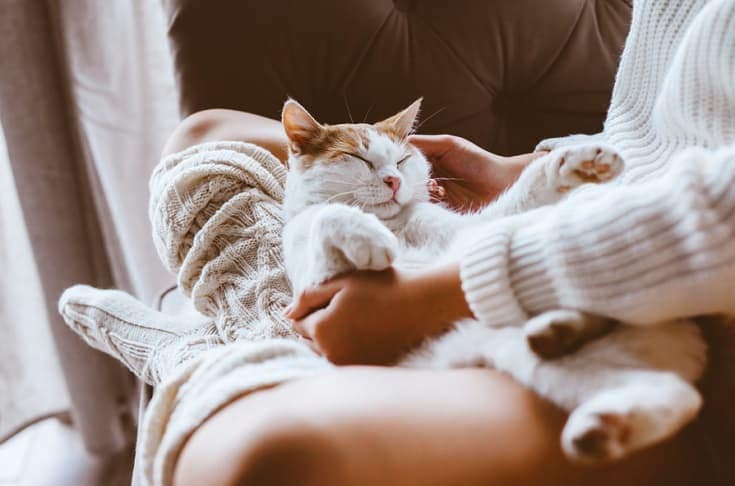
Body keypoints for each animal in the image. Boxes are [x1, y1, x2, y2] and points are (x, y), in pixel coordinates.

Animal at [278, 98, 704, 464]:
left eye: (402, 158)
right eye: (357, 157)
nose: (394, 181)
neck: (396, 224)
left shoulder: (475, 230)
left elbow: (522, 195)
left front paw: (574, 162)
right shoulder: (317, 282)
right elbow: (327, 214)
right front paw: (368, 238)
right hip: (525, 357)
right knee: (675, 393)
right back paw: (596, 417)